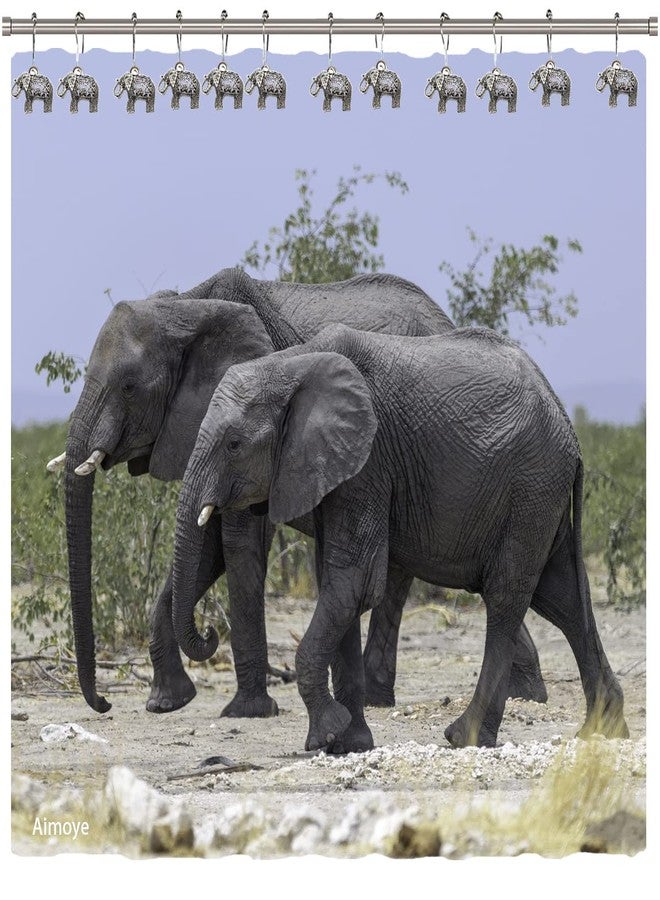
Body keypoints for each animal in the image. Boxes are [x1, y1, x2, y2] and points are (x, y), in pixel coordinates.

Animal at [49, 267, 547, 717]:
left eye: (128, 387)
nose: (104, 703)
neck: (184, 306)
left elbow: (237, 543)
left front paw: (247, 711)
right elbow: (206, 547)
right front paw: (167, 702)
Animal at [172, 324, 629, 752]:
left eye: (234, 444)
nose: (210, 633)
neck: (290, 364)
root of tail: (569, 428)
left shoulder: (369, 462)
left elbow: (354, 582)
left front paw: (324, 735)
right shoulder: (334, 471)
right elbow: (338, 587)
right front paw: (349, 744)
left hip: (530, 488)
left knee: (506, 598)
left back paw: (464, 737)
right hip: (540, 496)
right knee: (562, 598)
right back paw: (601, 731)